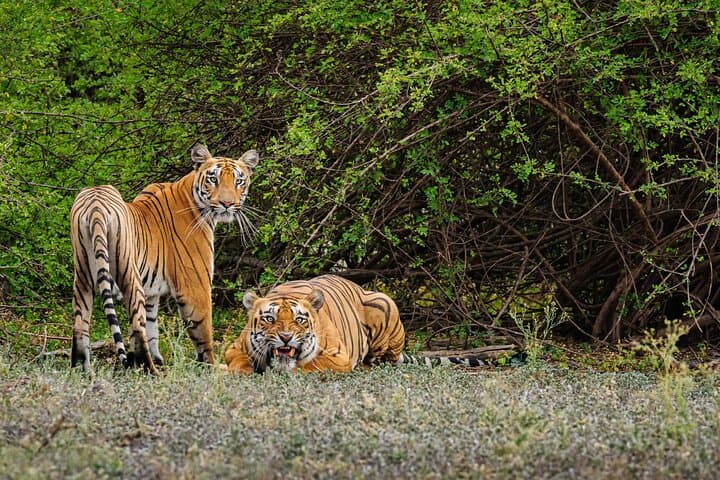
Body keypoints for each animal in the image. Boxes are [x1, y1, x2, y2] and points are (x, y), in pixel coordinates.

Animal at [70, 143, 258, 374]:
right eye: (213, 179)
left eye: (238, 180)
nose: (227, 203)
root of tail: (95, 205)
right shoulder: (195, 285)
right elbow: (203, 331)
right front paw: (211, 367)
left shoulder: (152, 293)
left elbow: (153, 328)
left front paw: (159, 358)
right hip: (129, 276)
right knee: (136, 330)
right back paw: (151, 371)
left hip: (82, 277)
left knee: (80, 326)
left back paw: (82, 371)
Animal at [224, 274, 488, 374]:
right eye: (270, 318)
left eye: (299, 320)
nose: (286, 337)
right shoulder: (234, 349)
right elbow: (239, 362)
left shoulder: (338, 357)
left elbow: (310, 365)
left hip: (384, 303)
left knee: (385, 360)